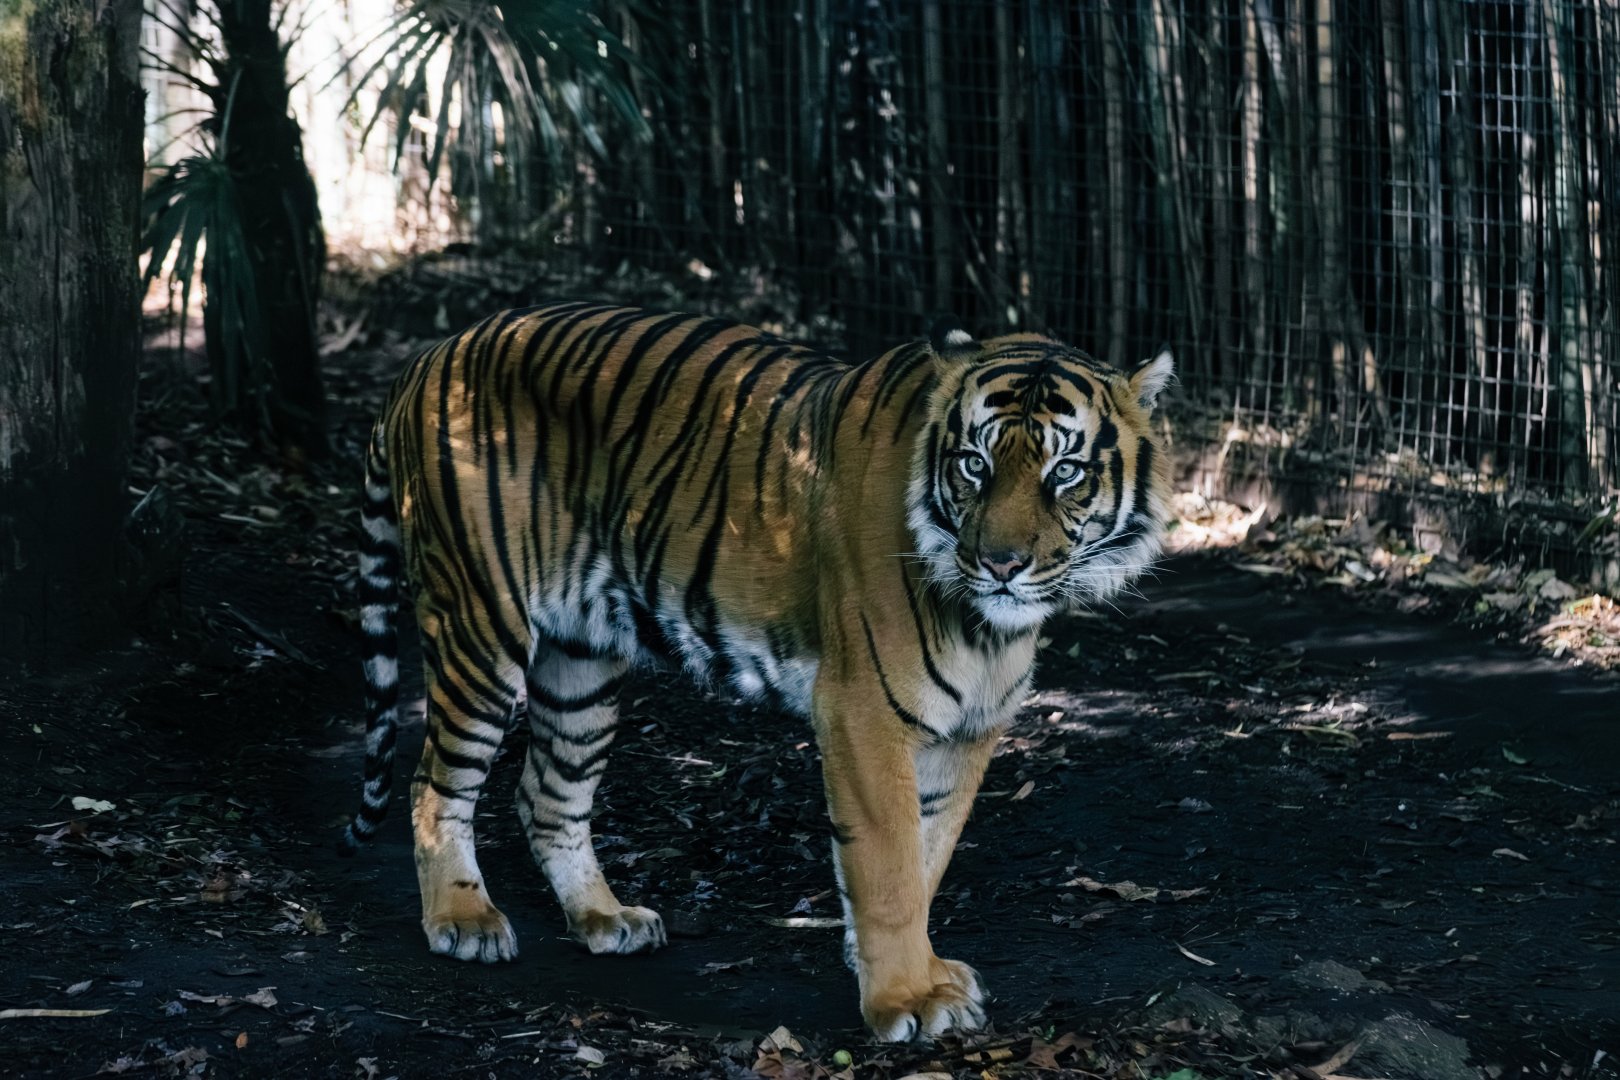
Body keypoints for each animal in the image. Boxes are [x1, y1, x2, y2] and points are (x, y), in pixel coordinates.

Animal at [340, 301, 1173, 1041]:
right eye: (975, 463)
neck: (988, 626)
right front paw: (904, 998)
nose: (1001, 564)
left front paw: (903, 969)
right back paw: (463, 920)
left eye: (1065, 471)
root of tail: (430, 356)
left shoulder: (970, 730)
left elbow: (927, 854)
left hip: (582, 659)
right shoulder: (862, 712)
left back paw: (605, 919)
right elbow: (890, 864)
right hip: (481, 624)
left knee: (547, 792)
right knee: (433, 783)